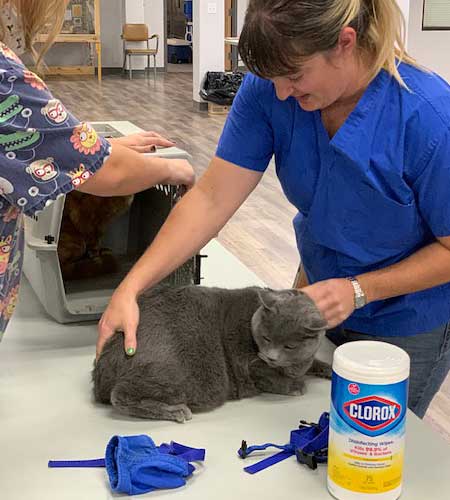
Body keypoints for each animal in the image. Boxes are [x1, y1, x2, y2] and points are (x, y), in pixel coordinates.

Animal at [92, 286, 330, 422]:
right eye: (266, 338)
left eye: (289, 346)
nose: (270, 356)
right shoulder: (250, 365)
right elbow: (271, 377)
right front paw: (296, 385)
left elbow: (313, 362)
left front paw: (326, 368)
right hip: (176, 375)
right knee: (120, 394)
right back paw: (176, 411)